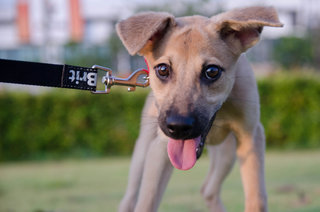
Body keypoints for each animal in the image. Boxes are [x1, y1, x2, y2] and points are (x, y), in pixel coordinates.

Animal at [115, 6, 282, 212]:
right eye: (162, 70)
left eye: (212, 71)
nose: (178, 127)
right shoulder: (160, 148)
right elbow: (146, 202)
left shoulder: (250, 135)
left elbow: (256, 198)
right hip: (142, 153)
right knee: (130, 197)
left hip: (227, 153)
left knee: (208, 190)